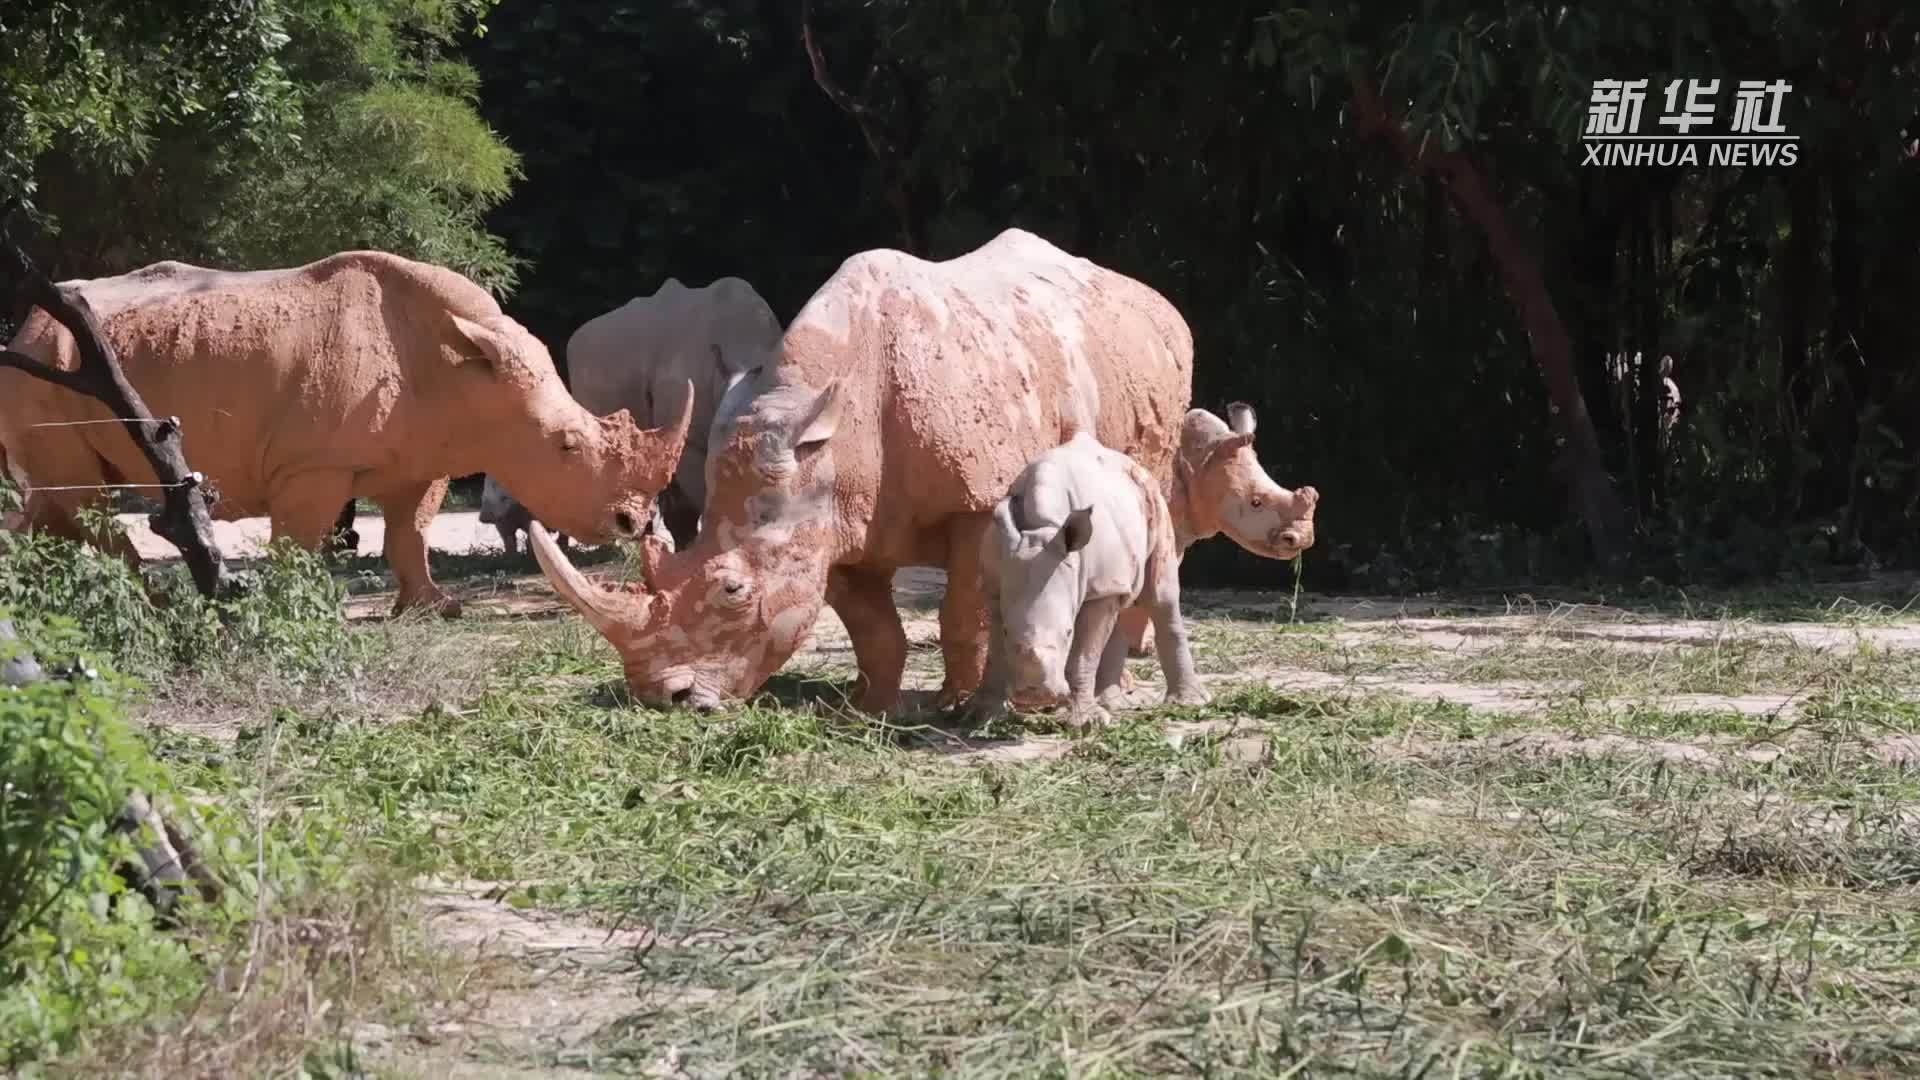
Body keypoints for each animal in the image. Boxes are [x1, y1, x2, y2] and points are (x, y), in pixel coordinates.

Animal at [967, 432, 1205, 726]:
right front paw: (981, 716)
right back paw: (1110, 704)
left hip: (1154, 499)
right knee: (1121, 604)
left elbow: (1083, 655)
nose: (1035, 693)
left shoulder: (1097, 588)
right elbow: (995, 652)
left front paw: (1085, 723)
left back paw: (1187, 703)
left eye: (1068, 632)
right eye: (1008, 632)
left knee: (1161, 598)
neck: (1042, 526)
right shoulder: (994, 584)